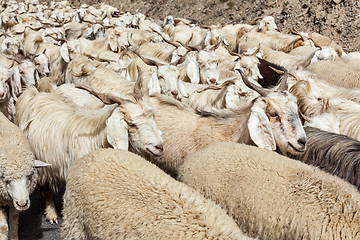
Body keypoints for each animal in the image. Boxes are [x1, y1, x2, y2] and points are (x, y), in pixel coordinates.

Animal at [0, 112, 50, 240]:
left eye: (29, 176)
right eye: (6, 180)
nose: (23, 204)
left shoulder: (13, 200)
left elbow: (13, 219)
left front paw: (14, 237)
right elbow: (3, 227)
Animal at [15, 84, 164, 223]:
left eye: (153, 117)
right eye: (132, 124)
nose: (159, 147)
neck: (98, 139)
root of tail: (34, 94)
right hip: (44, 164)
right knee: (46, 188)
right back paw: (51, 213)